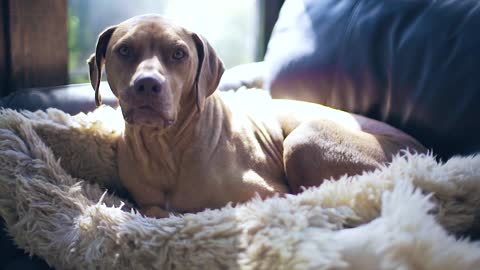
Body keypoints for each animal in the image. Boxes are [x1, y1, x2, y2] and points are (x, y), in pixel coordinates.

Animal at [88, 14, 426, 217]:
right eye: (124, 50)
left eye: (179, 54)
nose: (147, 84)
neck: (167, 147)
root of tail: (421, 152)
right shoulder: (148, 204)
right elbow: (154, 209)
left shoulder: (265, 194)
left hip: (305, 138)